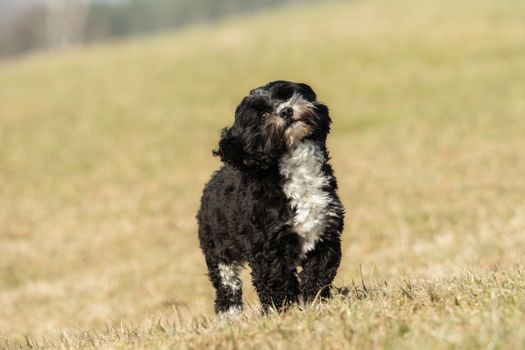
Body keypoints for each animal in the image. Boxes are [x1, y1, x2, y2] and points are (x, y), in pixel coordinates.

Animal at [196, 80, 344, 316]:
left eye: (287, 94)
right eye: (263, 116)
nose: (286, 111)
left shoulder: (325, 235)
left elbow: (318, 275)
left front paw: (315, 303)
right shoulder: (267, 248)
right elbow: (276, 282)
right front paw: (283, 311)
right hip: (218, 250)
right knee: (227, 285)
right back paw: (230, 316)